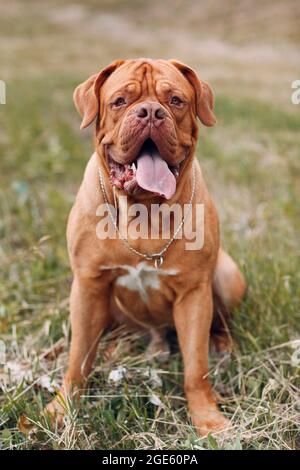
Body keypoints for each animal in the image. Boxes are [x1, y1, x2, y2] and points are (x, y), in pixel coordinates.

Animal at [45, 58, 246, 436]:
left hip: (227, 277)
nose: (151, 111)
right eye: (120, 101)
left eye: (176, 101)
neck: (144, 211)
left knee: (221, 323)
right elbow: (78, 357)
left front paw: (207, 418)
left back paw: (222, 346)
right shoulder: (88, 285)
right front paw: (62, 408)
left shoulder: (194, 294)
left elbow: (196, 367)